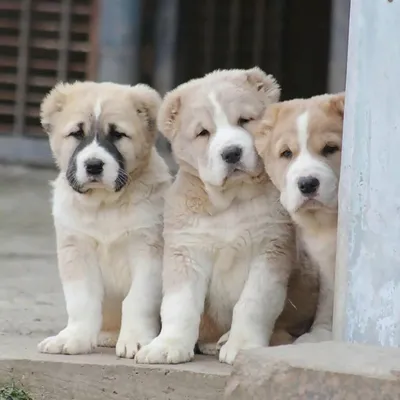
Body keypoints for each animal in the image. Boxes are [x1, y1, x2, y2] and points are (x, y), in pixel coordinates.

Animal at [35, 80, 170, 356]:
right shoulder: (76, 250)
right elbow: (82, 301)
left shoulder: (149, 251)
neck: (105, 205)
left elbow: (137, 299)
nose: (94, 165)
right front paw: (73, 338)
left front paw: (136, 339)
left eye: (117, 134)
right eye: (77, 133)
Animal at [136, 69, 318, 366]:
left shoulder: (271, 249)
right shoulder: (186, 249)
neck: (231, 203)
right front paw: (167, 346)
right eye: (203, 133)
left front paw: (242, 346)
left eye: (245, 120)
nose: (231, 152)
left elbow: (253, 303)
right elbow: (179, 304)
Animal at [255, 92, 346, 342]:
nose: (307, 184)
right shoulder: (324, 261)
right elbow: (329, 297)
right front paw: (322, 332)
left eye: (330, 148)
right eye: (286, 153)